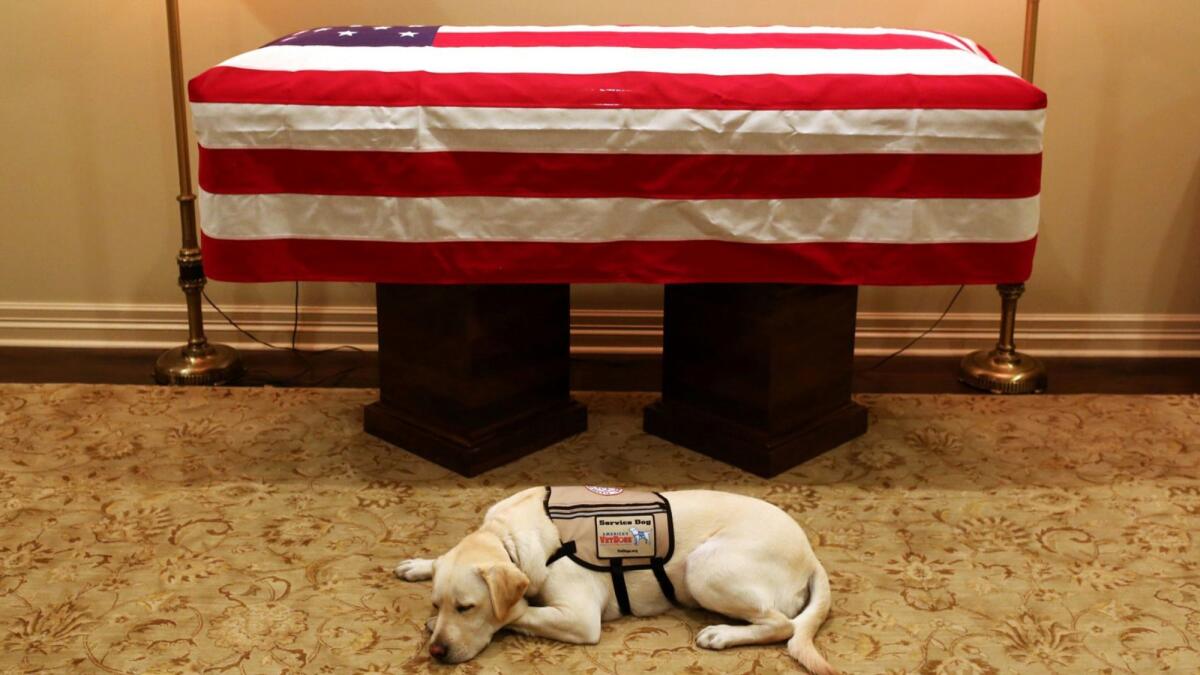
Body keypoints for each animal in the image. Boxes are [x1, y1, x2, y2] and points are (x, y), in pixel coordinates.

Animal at [393, 485, 835, 667]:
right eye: (438, 601)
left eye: (467, 607)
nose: (436, 652)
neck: (508, 536)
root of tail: (810, 554)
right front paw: (420, 565)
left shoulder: (579, 617)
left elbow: (517, 612)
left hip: (704, 567)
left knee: (781, 624)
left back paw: (721, 634)